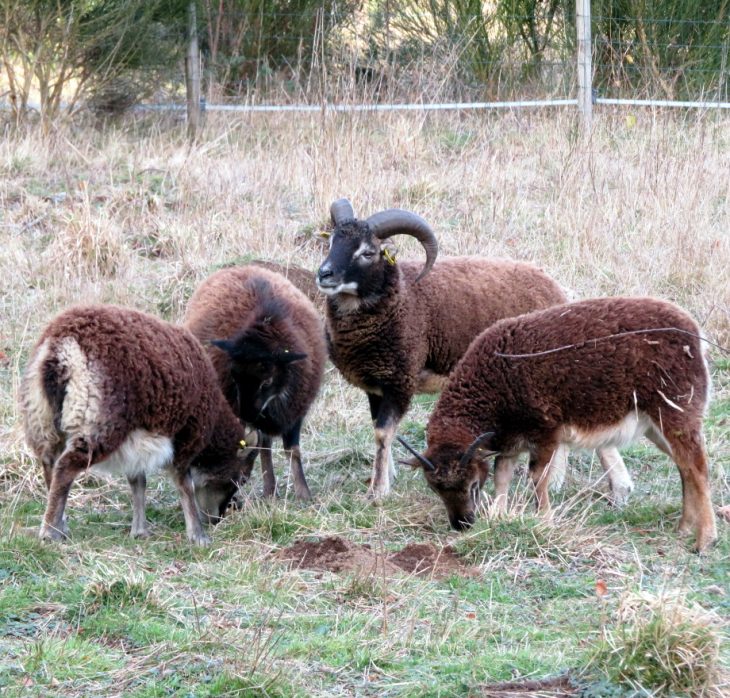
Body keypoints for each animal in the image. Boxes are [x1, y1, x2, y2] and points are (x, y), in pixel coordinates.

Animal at [19, 304, 258, 544]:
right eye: (240, 478)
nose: (216, 519)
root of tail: (60, 349)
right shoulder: (186, 439)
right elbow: (185, 485)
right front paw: (197, 535)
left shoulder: (135, 443)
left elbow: (138, 482)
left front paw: (139, 530)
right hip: (99, 422)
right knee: (65, 467)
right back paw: (50, 532)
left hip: (42, 418)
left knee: (49, 464)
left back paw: (60, 525)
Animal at [183, 264, 326, 498]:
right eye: (235, 377)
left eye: (266, 381)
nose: (247, 415)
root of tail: (240, 266)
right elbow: (257, 447)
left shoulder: (294, 412)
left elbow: (293, 451)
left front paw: (304, 493)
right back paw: (268, 489)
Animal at [316, 198, 628, 498]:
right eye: (331, 242)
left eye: (368, 252)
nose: (324, 274)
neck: (401, 297)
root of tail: (555, 290)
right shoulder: (375, 386)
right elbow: (380, 432)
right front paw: (385, 477)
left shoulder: (400, 381)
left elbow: (383, 434)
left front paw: (379, 490)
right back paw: (567, 484)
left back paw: (612, 487)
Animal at [396, 296, 712, 552]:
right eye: (435, 489)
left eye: (472, 484)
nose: (462, 524)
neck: (494, 383)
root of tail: (694, 334)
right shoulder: (511, 441)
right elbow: (502, 476)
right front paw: (499, 515)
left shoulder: (546, 432)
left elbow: (538, 477)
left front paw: (544, 518)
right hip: (655, 427)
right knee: (684, 467)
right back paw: (684, 527)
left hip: (675, 410)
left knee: (697, 467)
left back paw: (705, 538)